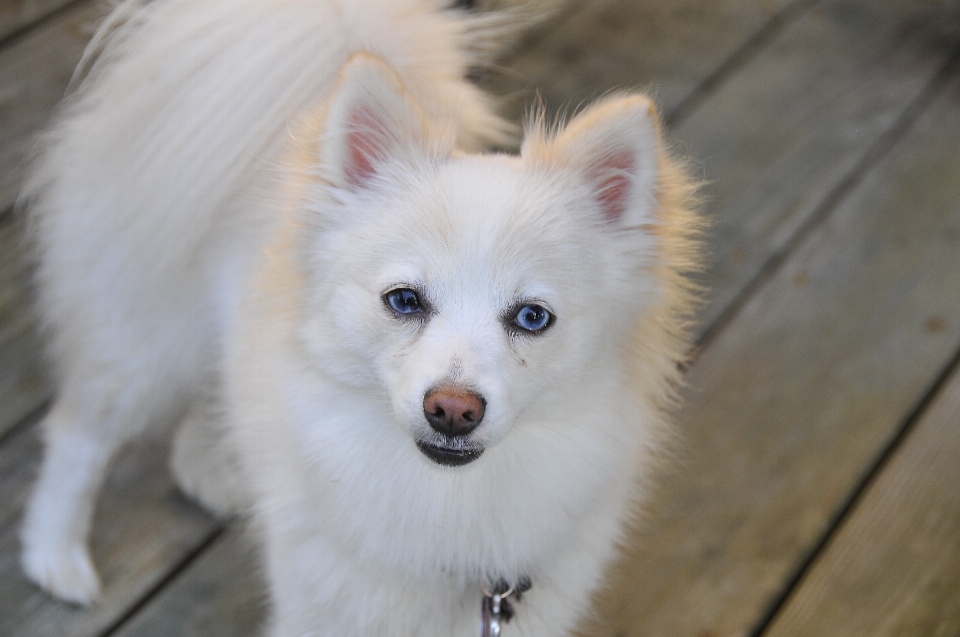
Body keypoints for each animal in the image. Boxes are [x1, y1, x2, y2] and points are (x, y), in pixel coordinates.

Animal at [20, 2, 696, 632]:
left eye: (532, 317)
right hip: (142, 347)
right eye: (404, 300)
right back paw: (55, 557)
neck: (446, 506)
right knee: (79, 437)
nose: (453, 409)